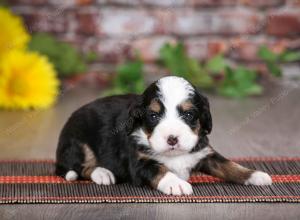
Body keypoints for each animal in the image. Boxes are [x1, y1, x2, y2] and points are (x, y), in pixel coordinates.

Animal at [55, 76, 272, 195]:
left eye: (188, 114)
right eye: (153, 115)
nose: (172, 139)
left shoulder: (204, 152)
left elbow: (229, 165)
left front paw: (254, 175)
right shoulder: (139, 163)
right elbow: (160, 169)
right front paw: (177, 184)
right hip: (78, 142)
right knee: (81, 167)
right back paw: (102, 173)